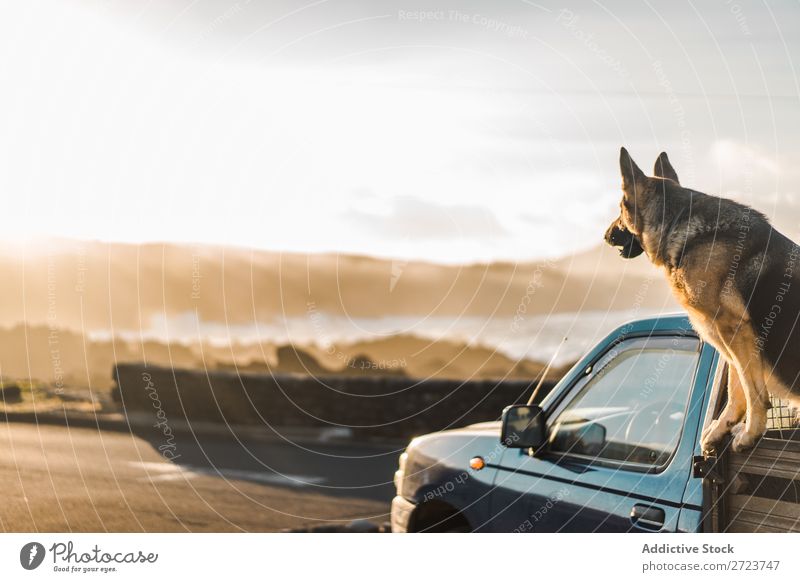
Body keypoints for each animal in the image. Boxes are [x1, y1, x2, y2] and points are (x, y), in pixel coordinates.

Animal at [608, 148, 800, 454]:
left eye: (620, 206)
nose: (606, 236)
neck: (680, 226)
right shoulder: (726, 334)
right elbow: (736, 387)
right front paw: (723, 428)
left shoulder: (732, 329)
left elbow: (751, 389)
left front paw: (751, 433)